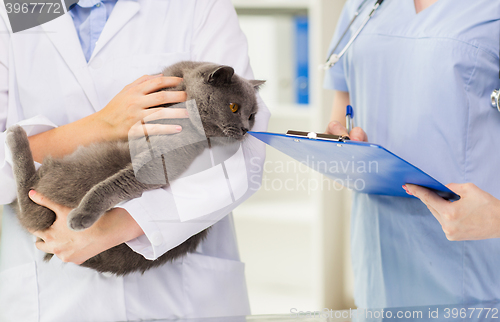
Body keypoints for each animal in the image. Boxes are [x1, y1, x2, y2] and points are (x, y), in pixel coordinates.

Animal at [5, 61, 264, 276]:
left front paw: (82, 215)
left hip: (97, 163)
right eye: (233, 107)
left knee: (29, 203)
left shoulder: (166, 155)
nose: (245, 128)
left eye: (252, 115)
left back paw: (16, 134)